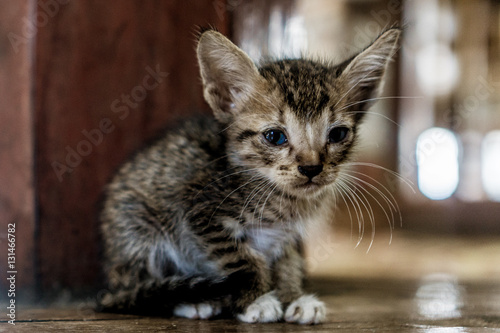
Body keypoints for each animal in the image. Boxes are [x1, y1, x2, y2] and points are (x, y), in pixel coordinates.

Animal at [99, 27, 400, 322]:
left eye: (337, 134)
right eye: (275, 136)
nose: (312, 168)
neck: (279, 197)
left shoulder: (287, 233)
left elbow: (289, 262)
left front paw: (293, 296)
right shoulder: (200, 211)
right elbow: (243, 261)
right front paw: (257, 300)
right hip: (139, 226)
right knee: (138, 291)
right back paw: (192, 301)